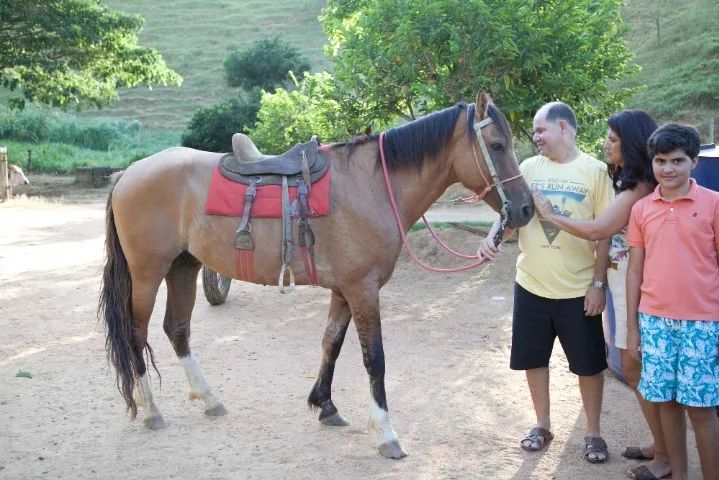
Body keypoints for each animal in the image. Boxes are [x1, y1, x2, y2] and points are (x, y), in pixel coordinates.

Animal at [99, 91, 534, 458]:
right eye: (497, 145)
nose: (526, 209)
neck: (371, 186)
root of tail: (128, 173)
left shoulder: (344, 289)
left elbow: (331, 344)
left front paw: (324, 404)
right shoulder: (363, 289)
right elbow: (374, 359)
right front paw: (385, 434)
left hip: (183, 267)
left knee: (177, 329)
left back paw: (209, 399)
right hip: (148, 272)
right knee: (137, 333)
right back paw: (151, 409)